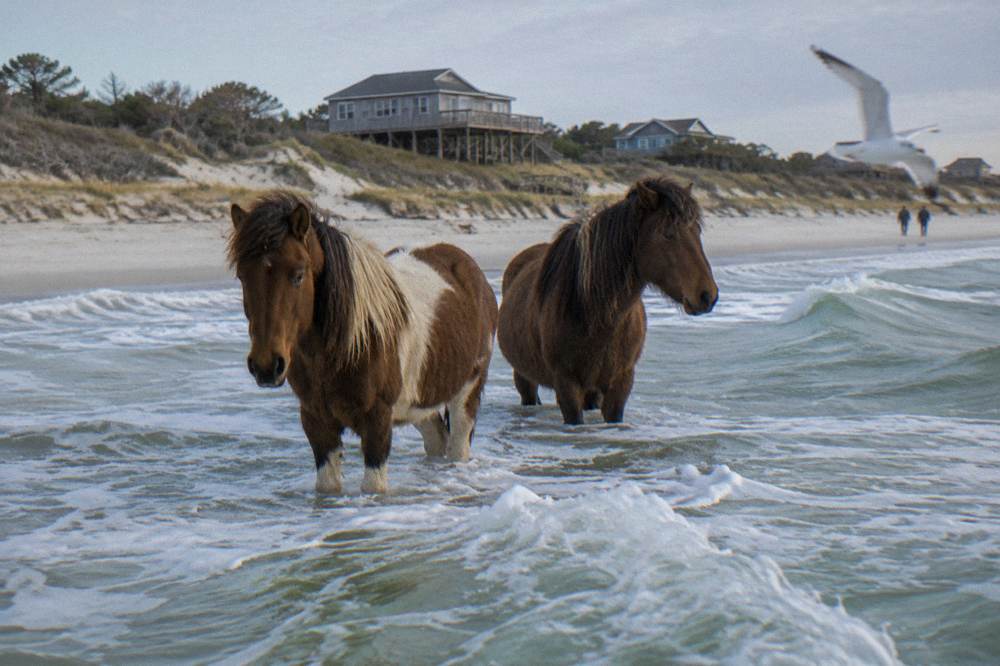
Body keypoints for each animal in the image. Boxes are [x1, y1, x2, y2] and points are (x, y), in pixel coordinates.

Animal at [228, 192, 498, 494]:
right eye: (242, 277)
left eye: (298, 275)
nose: (266, 366)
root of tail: (470, 269)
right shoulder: (316, 421)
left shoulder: (377, 422)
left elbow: (373, 489)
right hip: (419, 402)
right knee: (437, 438)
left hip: (467, 391)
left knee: (458, 443)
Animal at [497, 177, 717, 425]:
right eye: (668, 234)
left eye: (697, 231)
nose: (707, 295)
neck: (595, 316)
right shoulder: (567, 386)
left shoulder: (620, 385)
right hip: (524, 378)